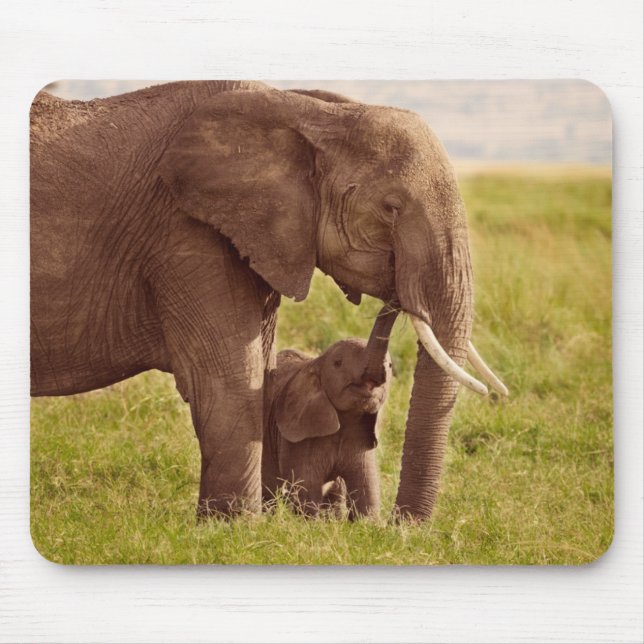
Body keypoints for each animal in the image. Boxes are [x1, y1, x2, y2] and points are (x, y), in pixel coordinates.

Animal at [262, 305, 397, 519]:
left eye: (391, 366)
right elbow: (306, 487)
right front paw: (311, 522)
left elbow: (367, 489)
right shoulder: (298, 438)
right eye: (338, 363)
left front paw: (367, 523)